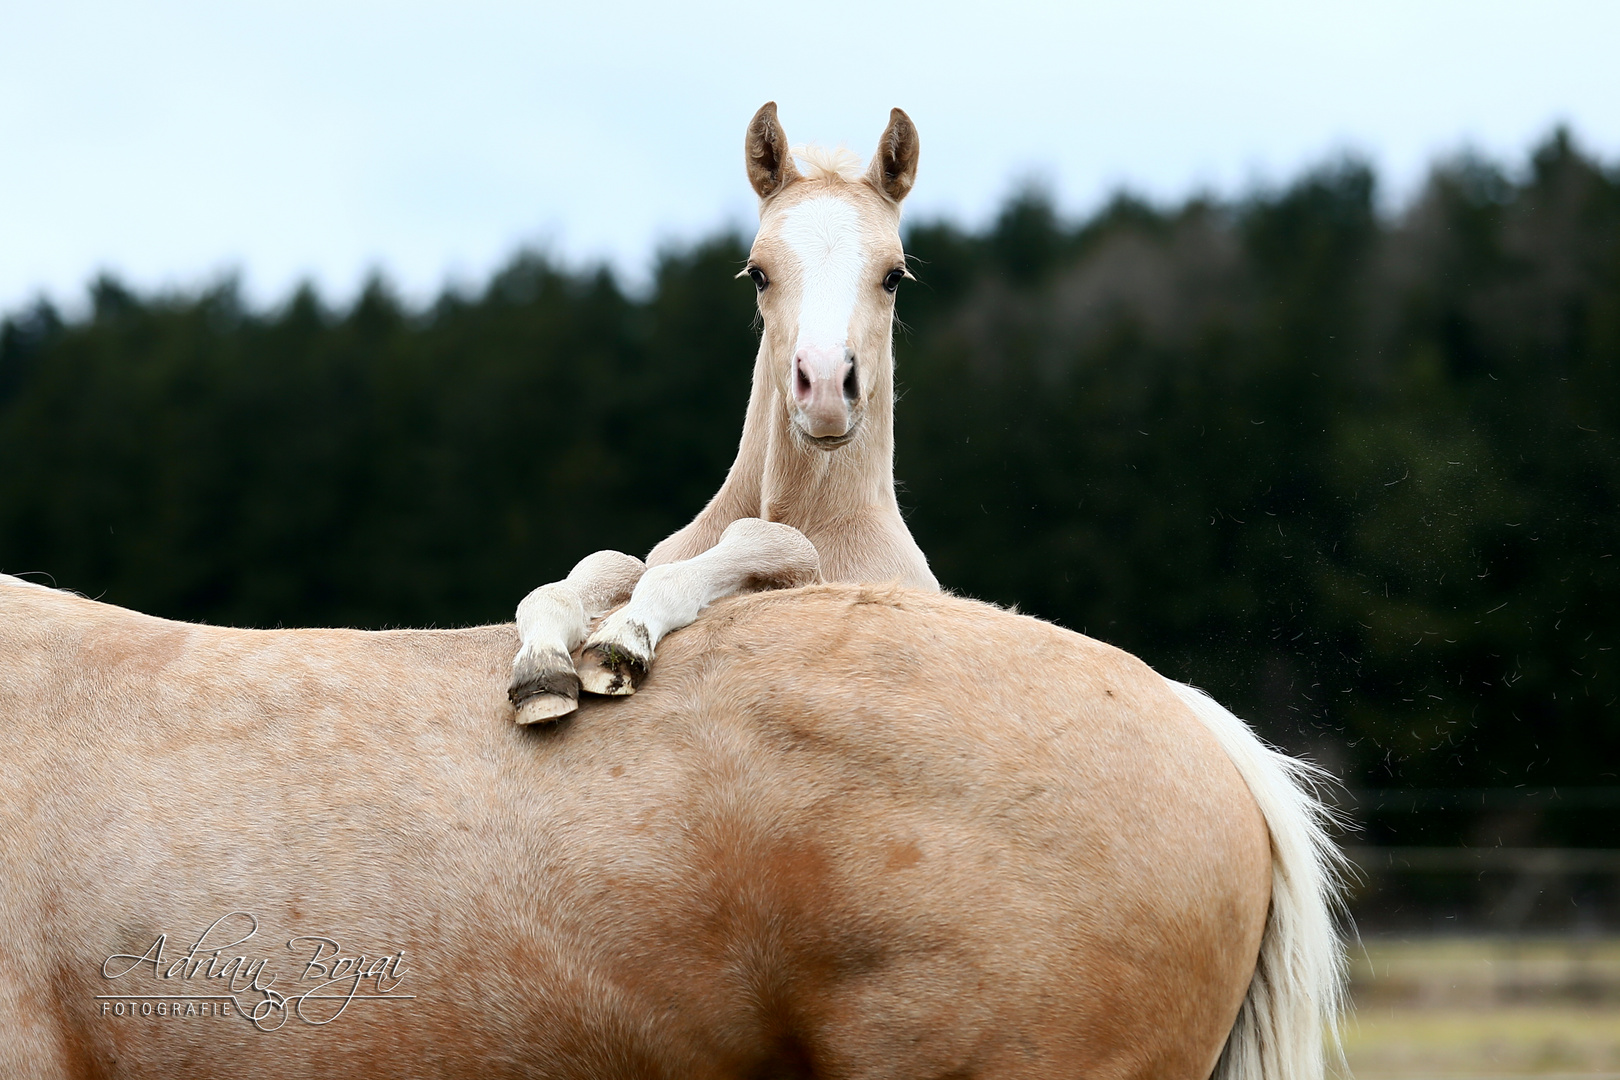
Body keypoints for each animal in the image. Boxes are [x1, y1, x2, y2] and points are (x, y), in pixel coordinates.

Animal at [505, 103, 939, 725]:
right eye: (757, 272)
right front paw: (541, 669)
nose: (826, 389)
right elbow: (600, 567)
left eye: (894, 275)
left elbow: (768, 543)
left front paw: (624, 638)